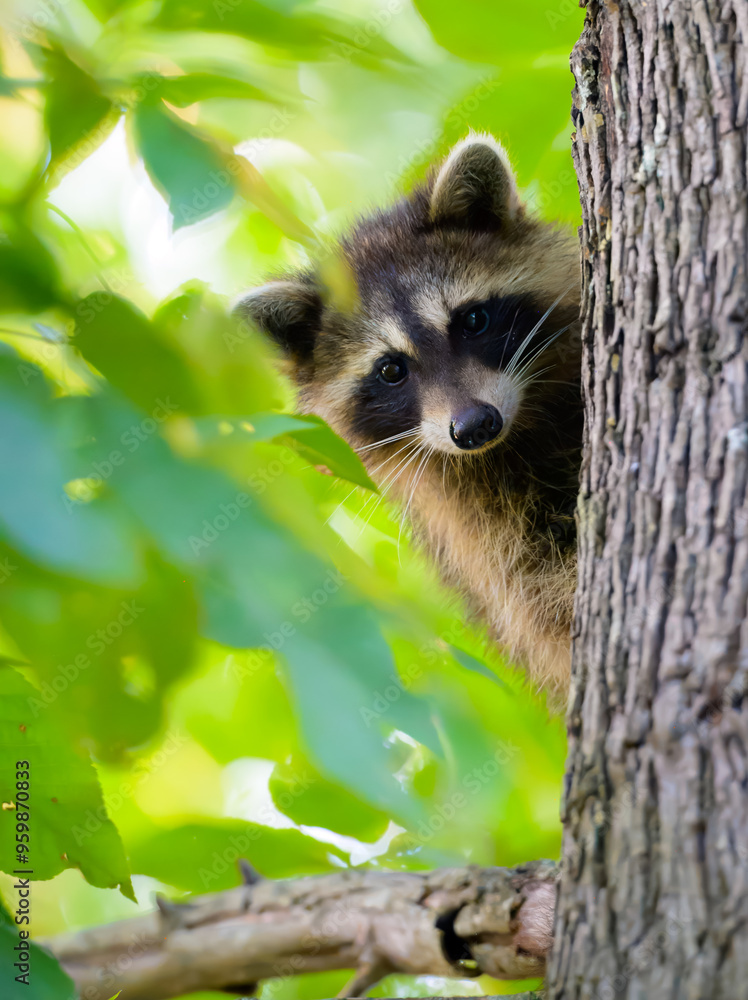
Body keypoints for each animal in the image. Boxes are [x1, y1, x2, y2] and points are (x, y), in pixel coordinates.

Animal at [237, 134, 582, 695]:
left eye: (473, 319)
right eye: (391, 370)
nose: (474, 426)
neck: (520, 436)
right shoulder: (486, 531)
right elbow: (540, 596)